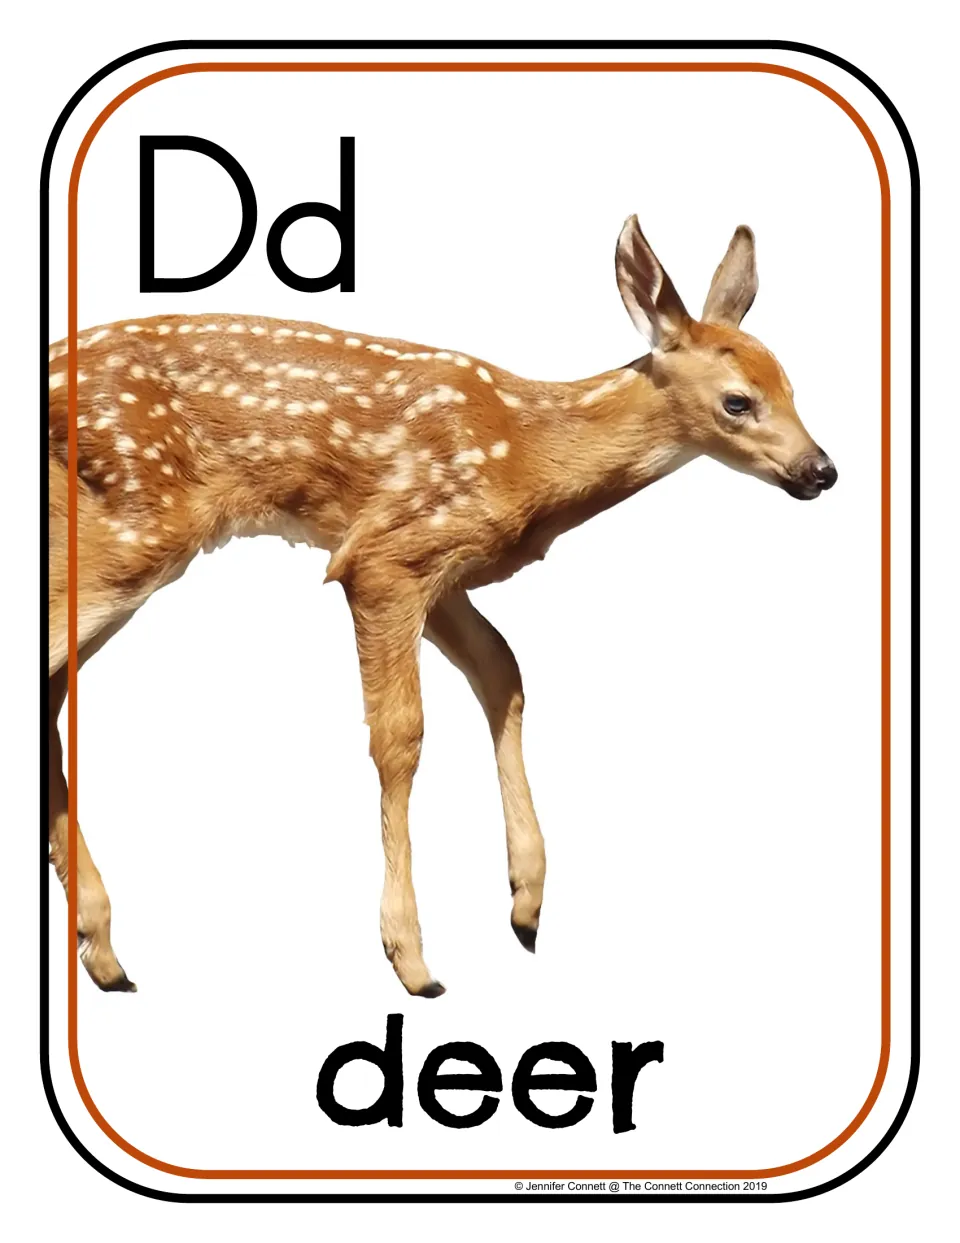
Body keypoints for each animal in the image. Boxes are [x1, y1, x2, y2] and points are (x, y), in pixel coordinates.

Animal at [47, 216, 837, 999]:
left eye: (792, 385)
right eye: (738, 400)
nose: (821, 469)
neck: (529, 451)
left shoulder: (448, 572)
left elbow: (503, 672)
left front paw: (526, 902)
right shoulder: (387, 554)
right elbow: (401, 735)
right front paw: (411, 957)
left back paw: (103, 950)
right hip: (136, 526)